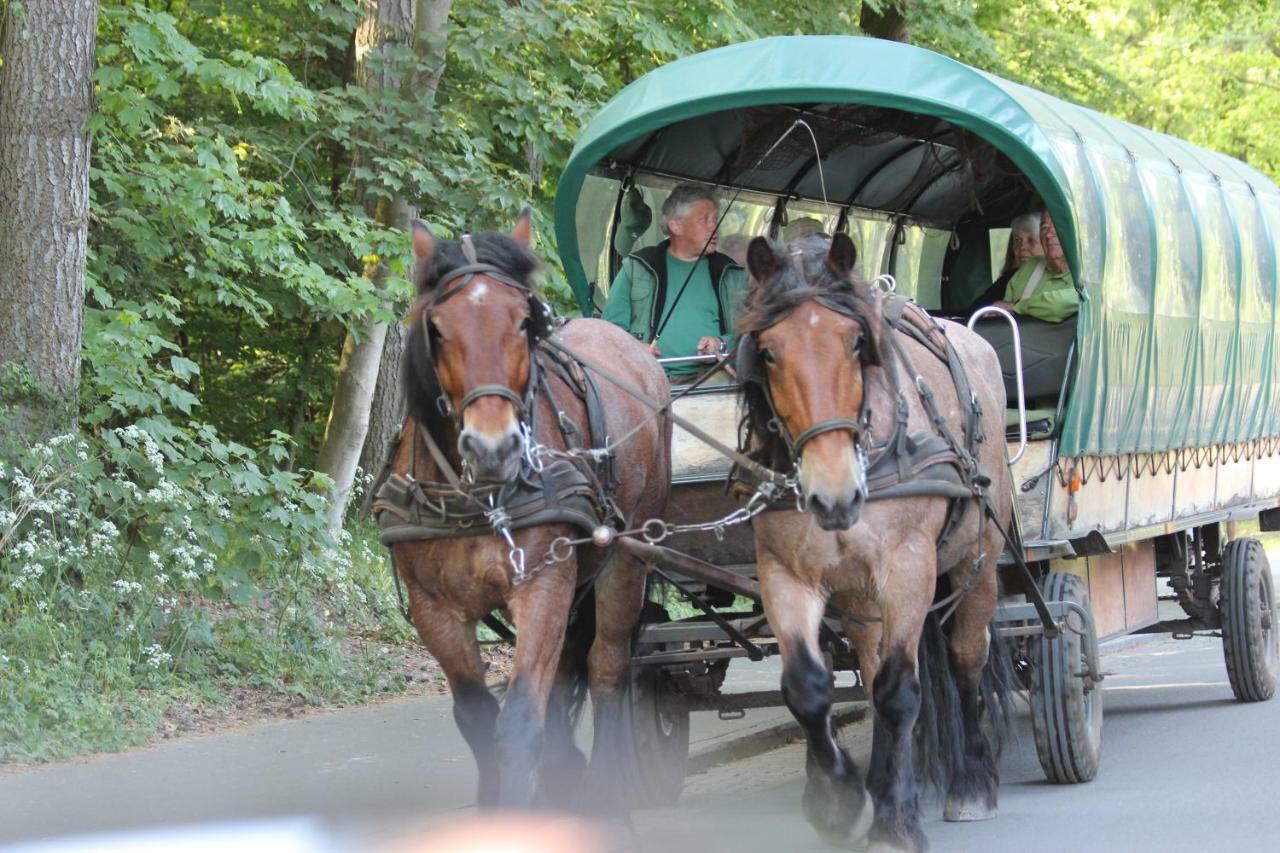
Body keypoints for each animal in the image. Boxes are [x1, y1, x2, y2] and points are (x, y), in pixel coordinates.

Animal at [386, 212, 670, 809]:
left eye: (523, 322)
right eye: (437, 327)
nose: (493, 449)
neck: (480, 498)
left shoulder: (542, 584)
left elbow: (518, 719)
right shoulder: (433, 608)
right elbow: (476, 716)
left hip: (625, 560)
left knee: (606, 666)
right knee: (567, 670)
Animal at [737, 229, 1013, 845]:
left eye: (856, 341)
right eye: (768, 351)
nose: (834, 494)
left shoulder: (909, 568)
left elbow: (899, 690)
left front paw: (892, 822)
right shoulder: (784, 574)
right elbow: (808, 688)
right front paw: (839, 799)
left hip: (977, 561)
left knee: (964, 659)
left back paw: (972, 782)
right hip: (859, 598)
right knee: (871, 670)